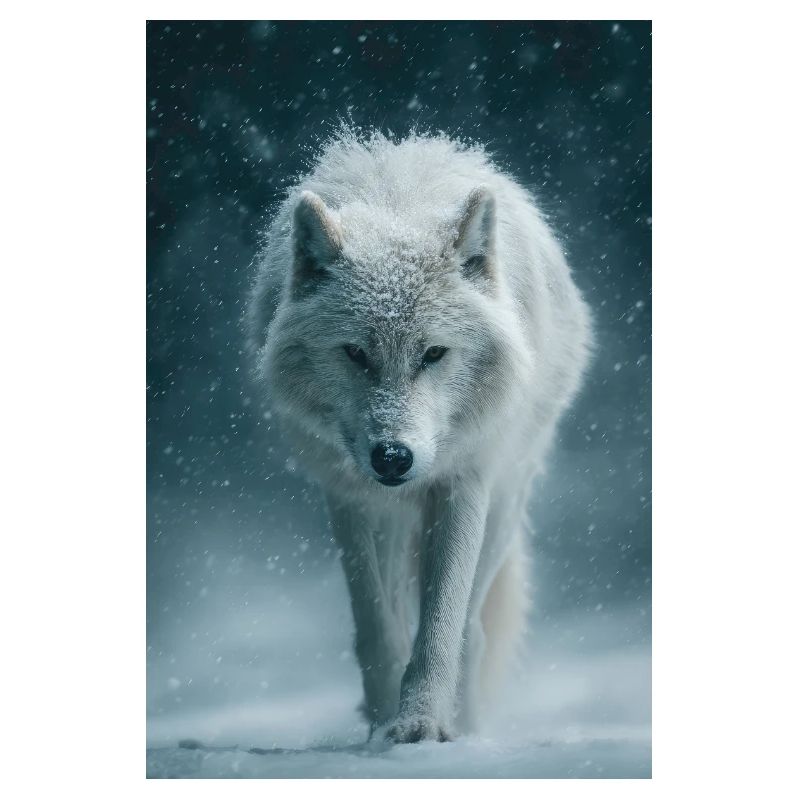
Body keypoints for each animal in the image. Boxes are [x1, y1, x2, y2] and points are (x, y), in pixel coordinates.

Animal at [247, 131, 591, 743]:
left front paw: (421, 725)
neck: (398, 207)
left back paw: (469, 726)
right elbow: (377, 628)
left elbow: (441, 628)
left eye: (433, 353)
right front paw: (384, 722)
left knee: (474, 629)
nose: (393, 458)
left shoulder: (463, 483)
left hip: (505, 503)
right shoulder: (350, 498)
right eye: (355, 353)